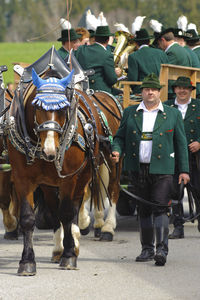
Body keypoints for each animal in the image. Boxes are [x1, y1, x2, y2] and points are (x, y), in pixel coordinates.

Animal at [7, 67, 122, 276]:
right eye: (38, 108)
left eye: (62, 109)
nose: (50, 150)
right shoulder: (22, 178)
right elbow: (28, 218)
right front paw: (27, 261)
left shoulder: (70, 177)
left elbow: (68, 212)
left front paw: (69, 255)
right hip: (50, 183)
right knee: (55, 209)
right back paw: (59, 247)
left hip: (104, 164)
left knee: (108, 191)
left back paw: (101, 229)